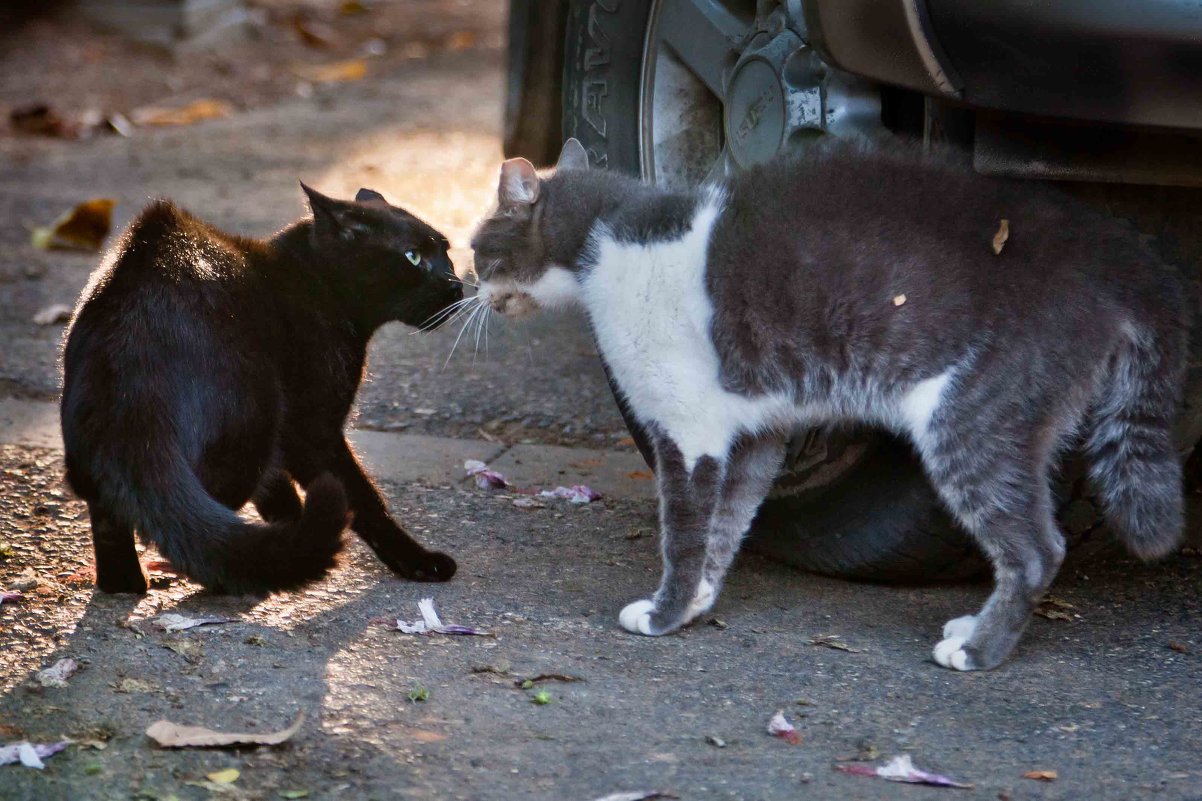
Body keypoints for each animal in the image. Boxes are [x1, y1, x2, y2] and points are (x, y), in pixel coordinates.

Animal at [63, 184, 461, 589]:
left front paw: (289, 524)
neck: (316, 284)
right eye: (413, 257)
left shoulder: (289, 437)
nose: (455, 284)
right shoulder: (312, 427)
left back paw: (125, 582)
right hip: (250, 425)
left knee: (113, 512)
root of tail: (128, 349)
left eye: (445, 251)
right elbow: (364, 498)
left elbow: (278, 482)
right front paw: (418, 561)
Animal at [466, 137, 1182, 668]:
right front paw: (697, 602)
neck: (608, 236)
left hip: (971, 423)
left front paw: (667, 613)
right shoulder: (753, 433)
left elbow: (686, 532)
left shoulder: (688, 432)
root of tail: (1121, 263)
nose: (469, 287)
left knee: (1038, 550)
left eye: (478, 248)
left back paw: (979, 651)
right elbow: (726, 524)